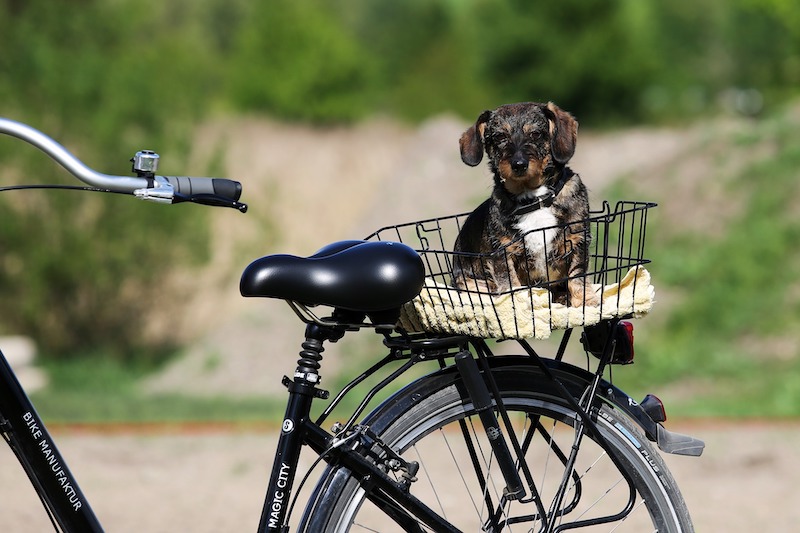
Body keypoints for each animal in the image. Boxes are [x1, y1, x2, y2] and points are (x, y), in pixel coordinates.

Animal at [454, 101, 596, 306]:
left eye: (535, 134)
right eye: (500, 136)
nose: (519, 164)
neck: (534, 199)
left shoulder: (577, 241)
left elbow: (577, 277)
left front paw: (586, 303)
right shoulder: (502, 251)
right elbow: (510, 284)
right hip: (470, 283)